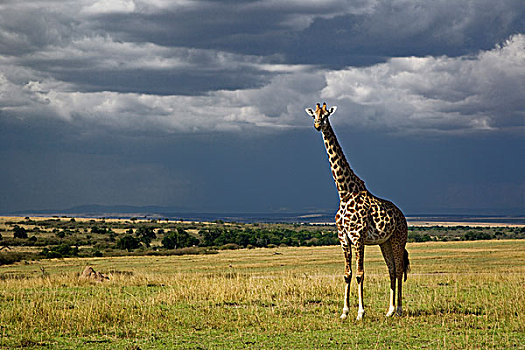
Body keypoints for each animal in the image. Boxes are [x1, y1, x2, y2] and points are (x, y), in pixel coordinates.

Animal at [302, 102, 410, 320]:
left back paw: (400, 310)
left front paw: (360, 312)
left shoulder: (358, 237)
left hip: (398, 239)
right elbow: (347, 274)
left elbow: (360, 274)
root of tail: (402, 216)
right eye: (314, 115)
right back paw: (389, 310)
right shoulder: (343, 238)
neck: (344, 193)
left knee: (399, 269)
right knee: (392, 270)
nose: (317, 125)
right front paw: (344, 312)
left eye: (326, 115)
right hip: (384, 243)